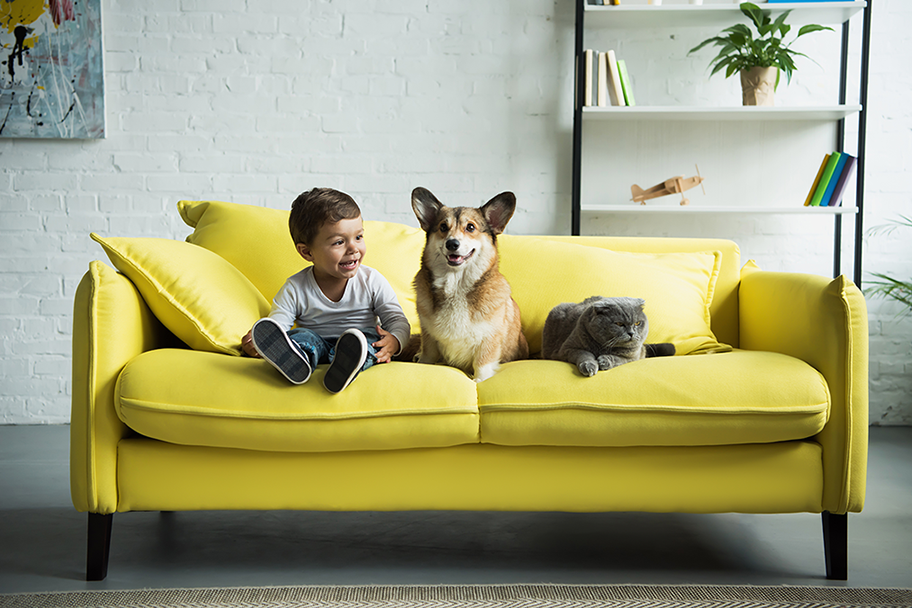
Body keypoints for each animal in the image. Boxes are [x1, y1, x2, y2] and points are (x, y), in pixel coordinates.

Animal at [408, 188, 528, 382]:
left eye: (470, 227)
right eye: (443, 227)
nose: (452, 244)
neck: (456, 285)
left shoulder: (489, 339)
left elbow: (482, 364)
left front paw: (479, 381)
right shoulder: (428, 337)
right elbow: (427, 357)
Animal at [540, 294, 676, 376]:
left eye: (637, 323)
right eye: (619, 323)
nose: (631, 333)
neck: (604, 347)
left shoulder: (634, 356)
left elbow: (618, 358)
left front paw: (604, 361)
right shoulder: (568, 349)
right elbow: (585, 354)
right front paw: (589, 367)